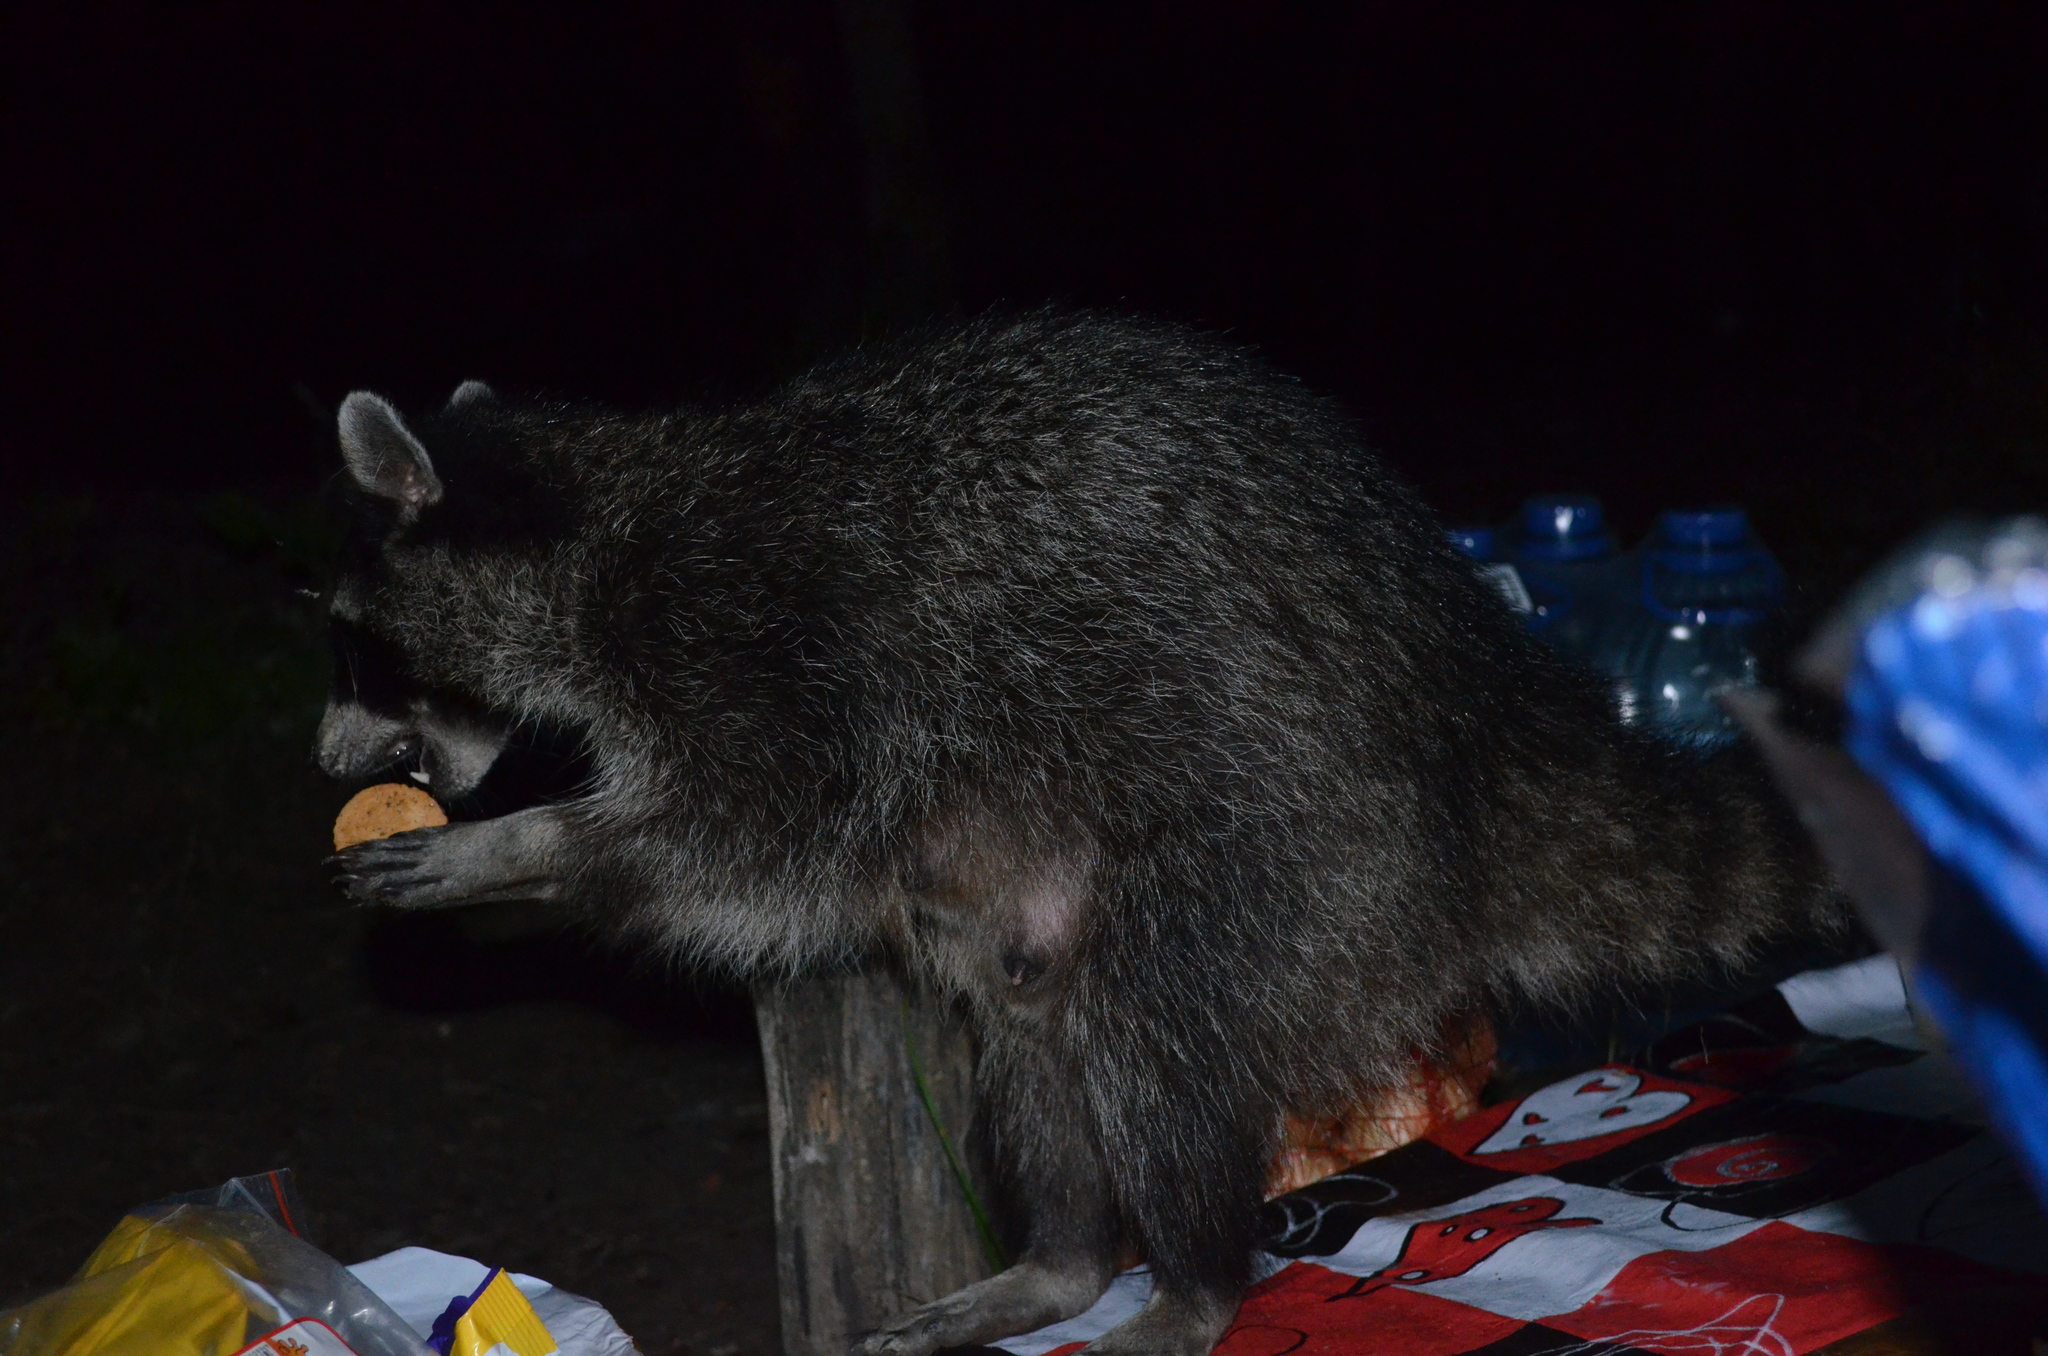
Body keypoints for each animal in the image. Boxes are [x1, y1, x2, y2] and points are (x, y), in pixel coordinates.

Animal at [323, 313, 1843, 1356]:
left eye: (356, 639)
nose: (329, 758)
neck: (608, 522)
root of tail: (1485, 716)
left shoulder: (782, 663)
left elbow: (737, 854)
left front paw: (531, 848)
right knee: (1036, 1031)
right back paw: (1060, 1260)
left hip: (1294, 841)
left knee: (1149, 1031)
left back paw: (1193, 1280)